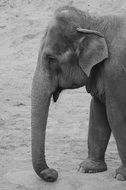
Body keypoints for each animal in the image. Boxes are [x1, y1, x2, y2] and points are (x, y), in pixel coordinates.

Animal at [31, 5, 126, 182]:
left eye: (51, 59)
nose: (52, 173)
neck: (94, 21)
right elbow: (97, 111)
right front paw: (87, 168)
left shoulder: (116, 71)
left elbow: (116, 116)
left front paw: (120, 175)